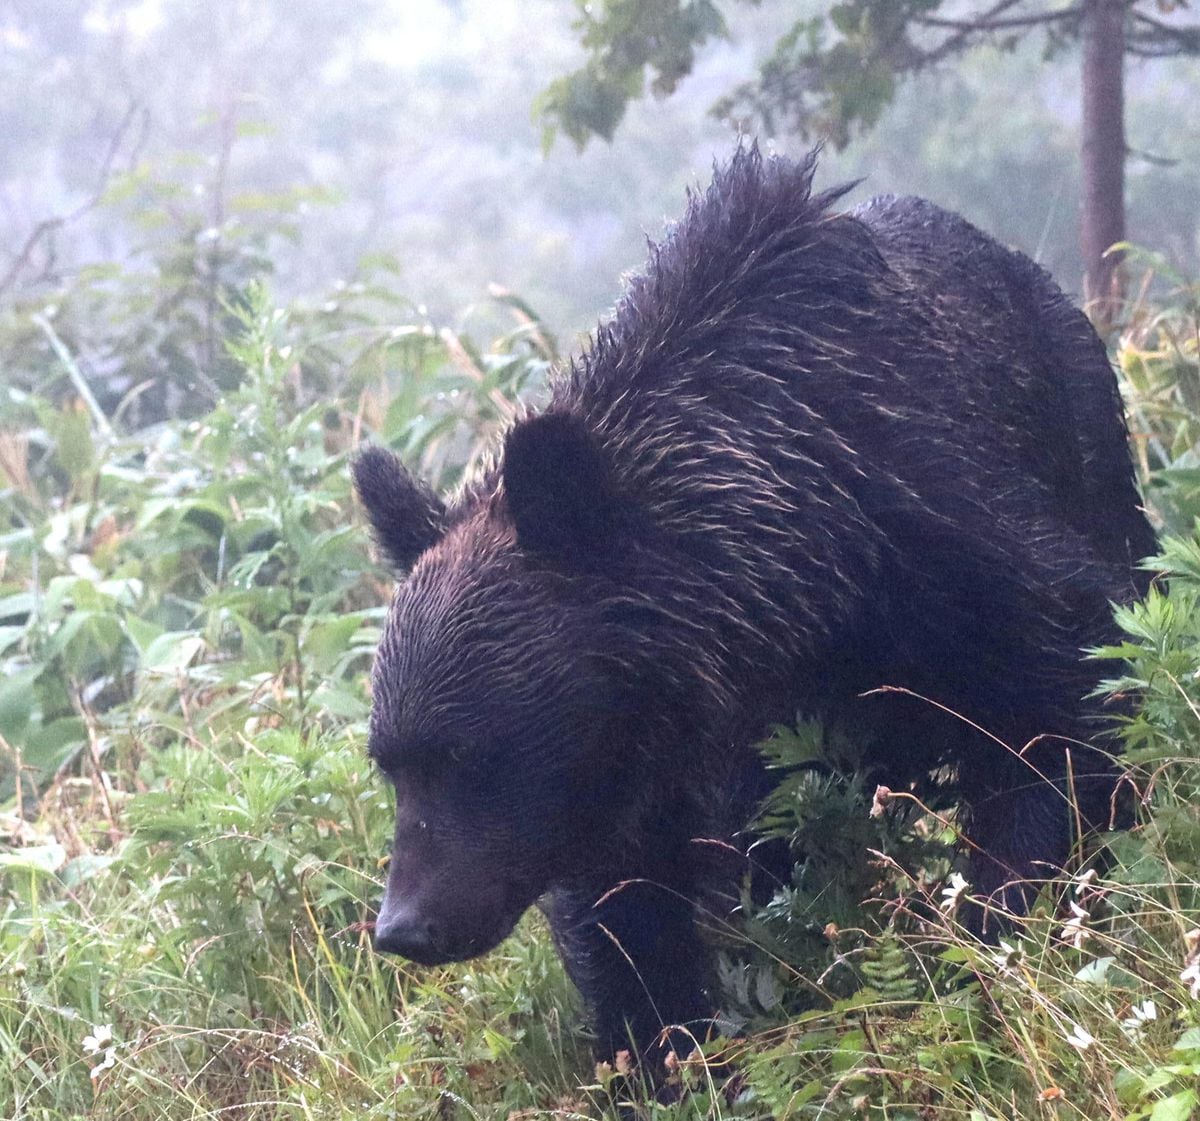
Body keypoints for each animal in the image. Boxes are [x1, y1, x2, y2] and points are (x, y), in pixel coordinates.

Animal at [352, 144, 1152, 1075]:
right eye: (391, 761)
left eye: (470, 752)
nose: (406, 926)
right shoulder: (655, 762)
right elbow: (631, 910)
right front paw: (663, 1055)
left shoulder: (958, 557)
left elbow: (1060, 717)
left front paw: (991, 937)